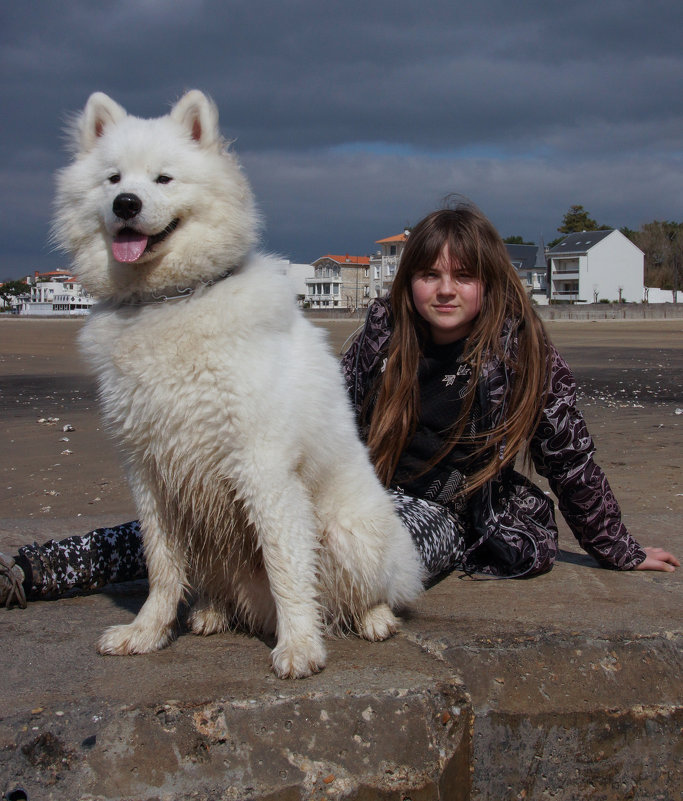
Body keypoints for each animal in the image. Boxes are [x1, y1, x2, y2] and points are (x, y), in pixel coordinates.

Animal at [53, 90, 424, 680]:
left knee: (370, 591)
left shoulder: (262, 466)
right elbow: (161, 567)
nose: (126, 204)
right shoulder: (148, 470)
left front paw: (300, 647)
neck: (168, 302)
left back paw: (374, 620)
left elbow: (287, 570)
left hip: (349, 532)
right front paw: (147, 633)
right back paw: (211, 612)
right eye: (113, 179)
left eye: (163, 178)